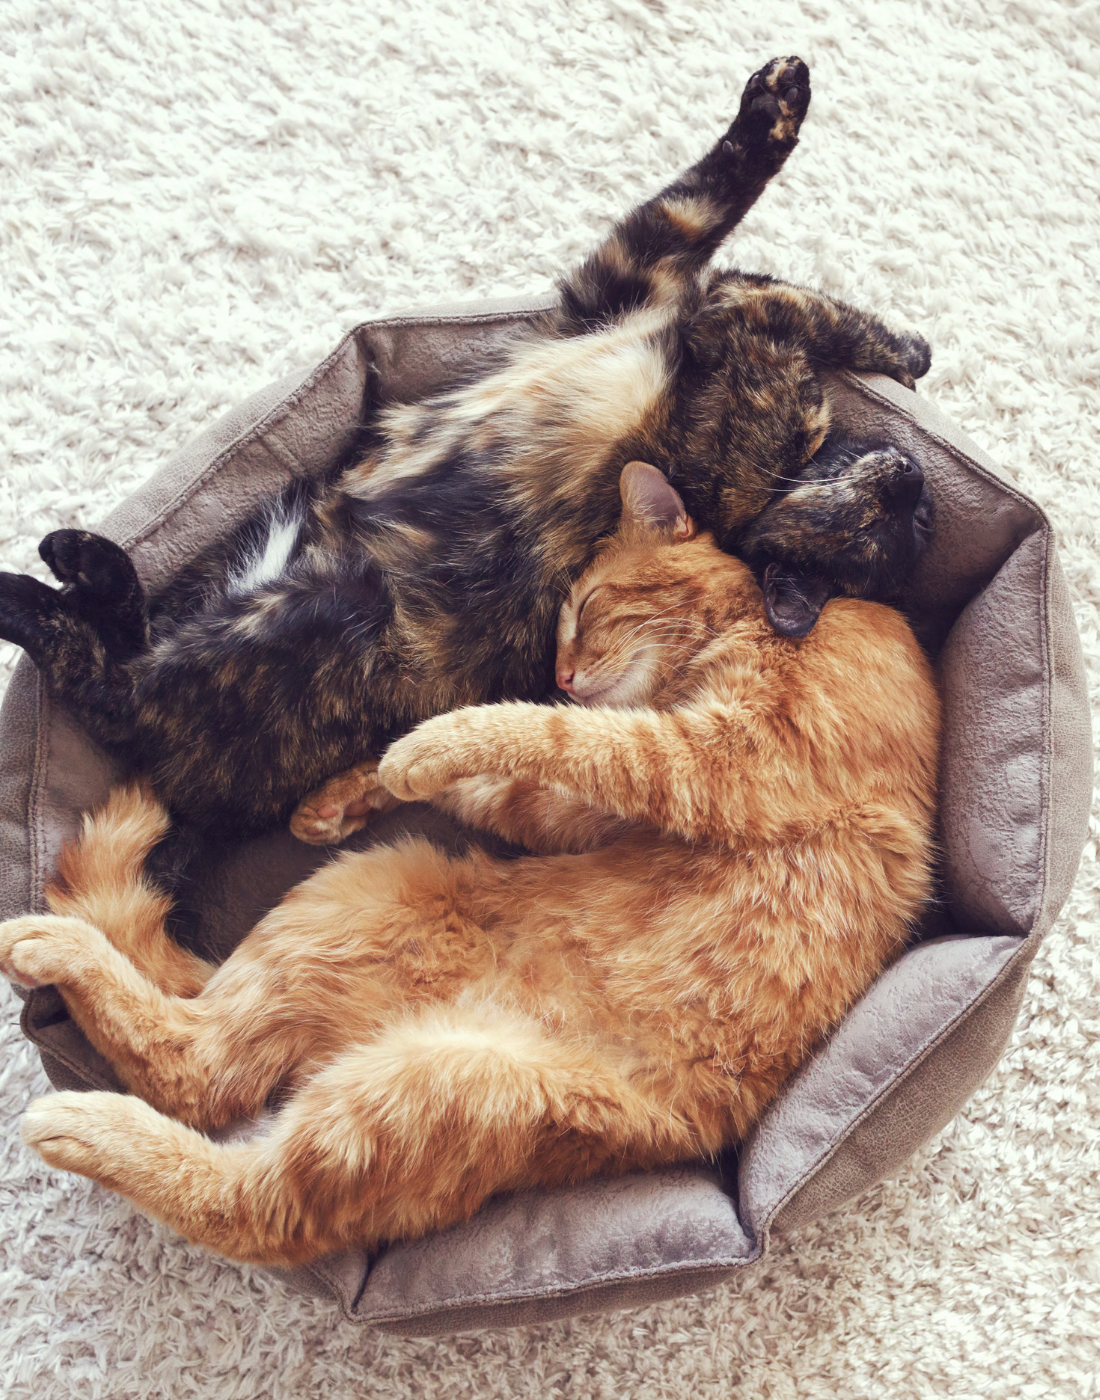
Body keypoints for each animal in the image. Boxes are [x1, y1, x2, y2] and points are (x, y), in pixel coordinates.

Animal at [0, 56, 933, 842]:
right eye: (908, 525)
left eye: (863, 543)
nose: (914, 479)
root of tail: (191, 794)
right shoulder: (626, 279)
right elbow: (720, 216)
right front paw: (903, 343)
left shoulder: (707, 330)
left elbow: (762, 297)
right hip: (246, 555)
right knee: (122, 638)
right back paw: (81, 562)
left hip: (312, 613)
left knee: (107, 683)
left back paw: (40, 580)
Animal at [0, 463, 941, 1268]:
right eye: (562, 625)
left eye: (589, 607)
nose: (562, 671)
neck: (762, 621)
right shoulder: (603, 806)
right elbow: (514, 782)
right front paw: (354, 789)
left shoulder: (719, 759)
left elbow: (547, 734)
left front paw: (423, 749)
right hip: (357, 907)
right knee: (195, 1058)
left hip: (420, 1073)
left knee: (226, 1155)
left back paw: (65, 1073)